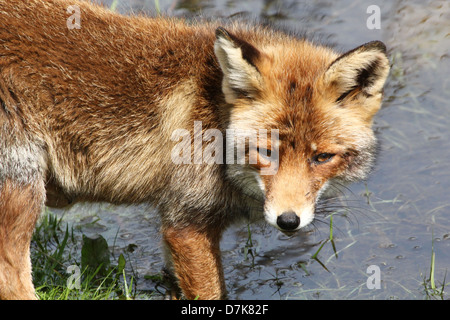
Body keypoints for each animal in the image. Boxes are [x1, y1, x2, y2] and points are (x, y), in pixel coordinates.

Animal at [0, 0, 388, 300]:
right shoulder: (187, 223)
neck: (214, 113)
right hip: (22, 191)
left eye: (321, 157)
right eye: (265, 152)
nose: (288, 221)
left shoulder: (174, 226)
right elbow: (211, 292)